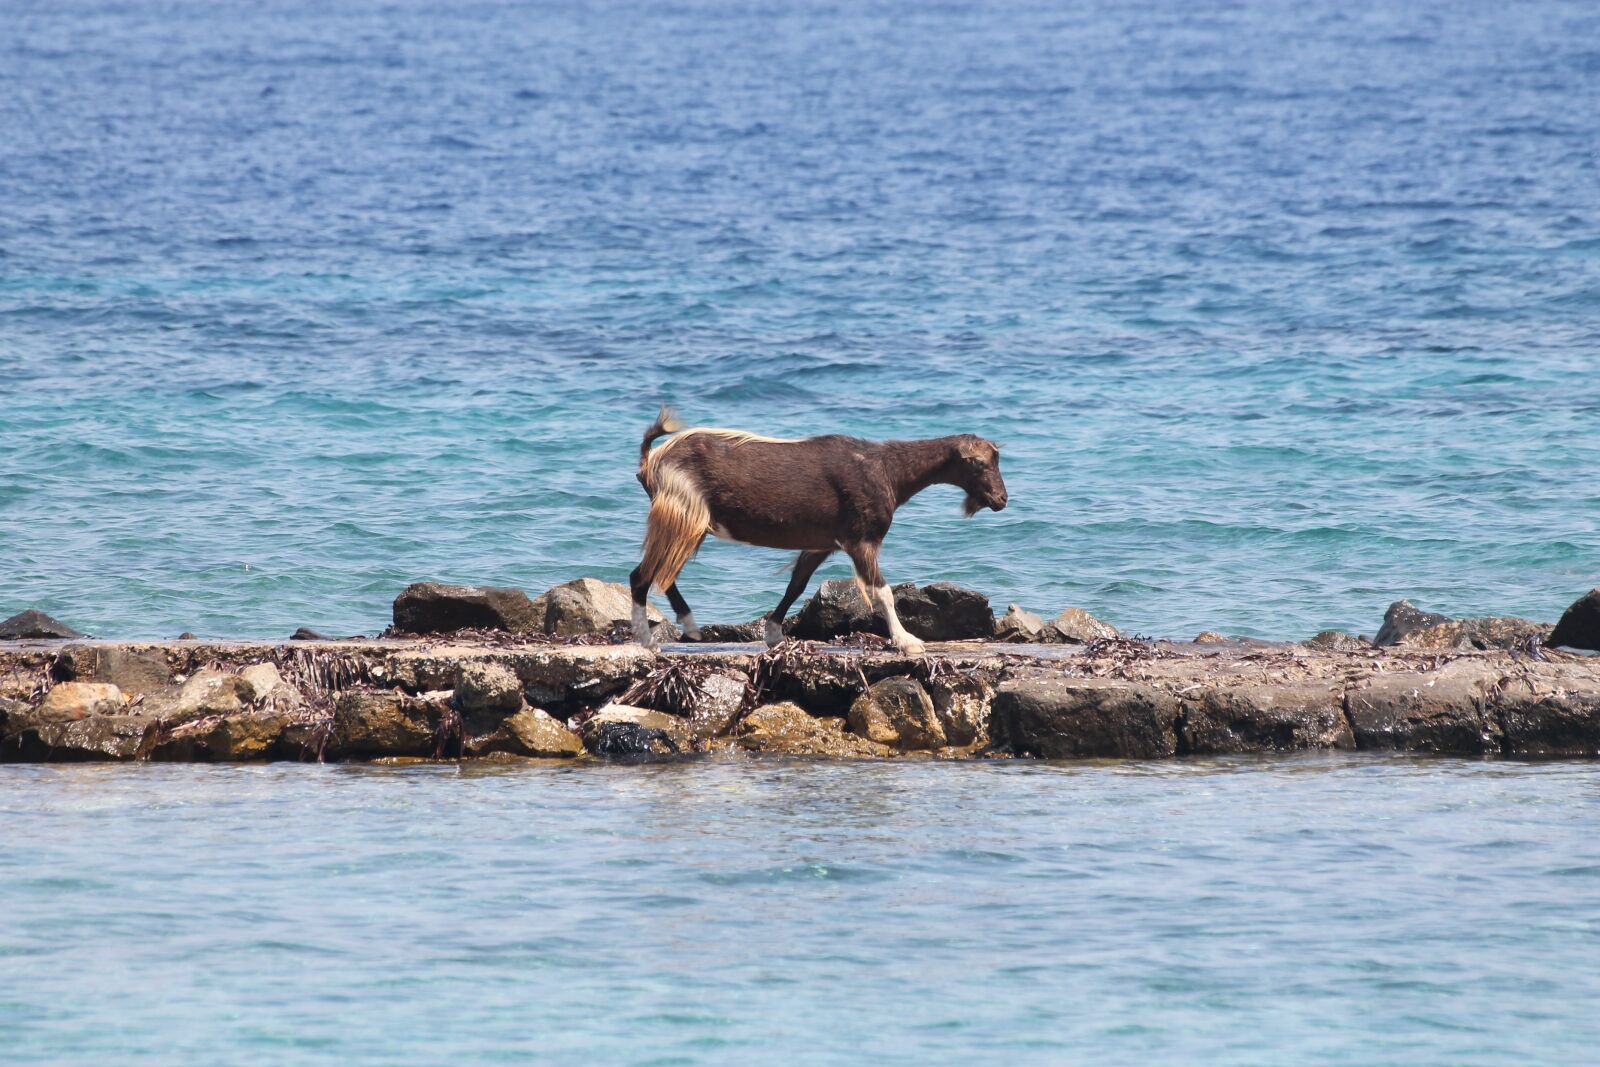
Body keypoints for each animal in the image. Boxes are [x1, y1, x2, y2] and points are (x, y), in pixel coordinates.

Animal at [628, 408, 1008, 653]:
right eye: (978, 463)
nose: (1001, 499)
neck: (888, 471)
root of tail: (650, 462)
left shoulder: (822, 543)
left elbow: (796, 586)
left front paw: (774, 634)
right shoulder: (861, 539)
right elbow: (883, 591)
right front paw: (907, 642)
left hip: (685, 521)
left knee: (661, 574)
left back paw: (688, 628)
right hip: (683, 513)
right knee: (644, 575)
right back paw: (650, 639)